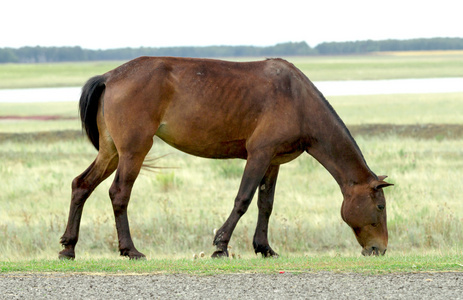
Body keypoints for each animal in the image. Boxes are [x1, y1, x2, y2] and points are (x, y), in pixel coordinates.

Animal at [58, 56, 392, 260]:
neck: (298, 100)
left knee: (81, 185)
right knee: (119, 194)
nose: (379, 248)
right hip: (133, 151)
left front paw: (264, 248)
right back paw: (130, 250)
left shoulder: (273, 161)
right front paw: (221, 245)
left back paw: (68, 248)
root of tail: (110, 76)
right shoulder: (258, 155)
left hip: (111, 152)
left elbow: (266, 205)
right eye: (380, 206)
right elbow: (243, 200)